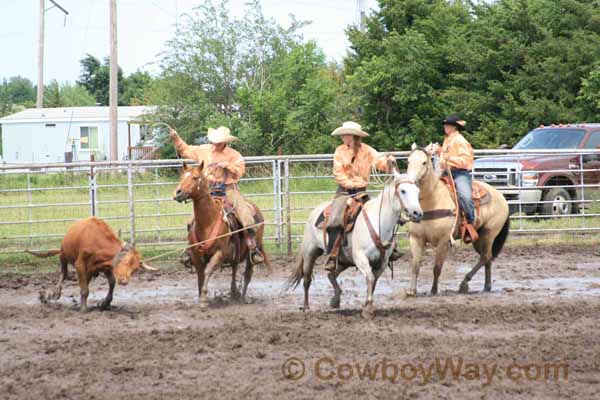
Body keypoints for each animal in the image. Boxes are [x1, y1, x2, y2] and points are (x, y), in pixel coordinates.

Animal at [27, 217, 157, 310]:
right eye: (125, 260)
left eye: (134, 269)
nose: (124, 281)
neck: (97, 241)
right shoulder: (80, 264)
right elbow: (84, 289)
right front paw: (84, 308)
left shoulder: (106, 266)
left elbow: (111, 283)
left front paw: (104, 303)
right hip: (63, 255)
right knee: (64, 273)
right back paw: (54, 293)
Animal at [172, 162, 268, 310]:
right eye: (182, 177)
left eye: (195, 177)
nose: (178, 192)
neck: (208, 223)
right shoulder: (196, 256)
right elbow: (200, 276)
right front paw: (200, 297)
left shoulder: (219, 254)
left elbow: (207, 271)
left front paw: (204, 300)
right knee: (234, 267)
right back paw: (234, 292)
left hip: (252, 250)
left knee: (248, 273)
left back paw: (242, 297)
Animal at [288, 163, 424, 318]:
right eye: (403, 191)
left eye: (417, 191)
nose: (418, 213)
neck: (378, 223)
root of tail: (316, 211)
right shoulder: (360, 257)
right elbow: (370, 278)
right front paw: (368, 309)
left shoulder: (382, 262)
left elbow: (373, 281)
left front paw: (366, 305)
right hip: (310, 252)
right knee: (307, 279)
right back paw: (306, 307)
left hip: (344, 259)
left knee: (331, 274)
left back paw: (335, 299)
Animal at [406, 145, 508, 296]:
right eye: (408, 161)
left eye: (424, 162)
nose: (410, 182)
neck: (432, 201)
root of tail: (501, 196)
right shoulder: (416, 238)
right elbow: (415, 265)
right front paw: (411, 291)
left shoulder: (444, 241)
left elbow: (437, 267)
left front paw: (434, 290)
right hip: (478, 237)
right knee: (488, 258)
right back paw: (486, 286)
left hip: (489, 233)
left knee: (484, 257)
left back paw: (464, 284)